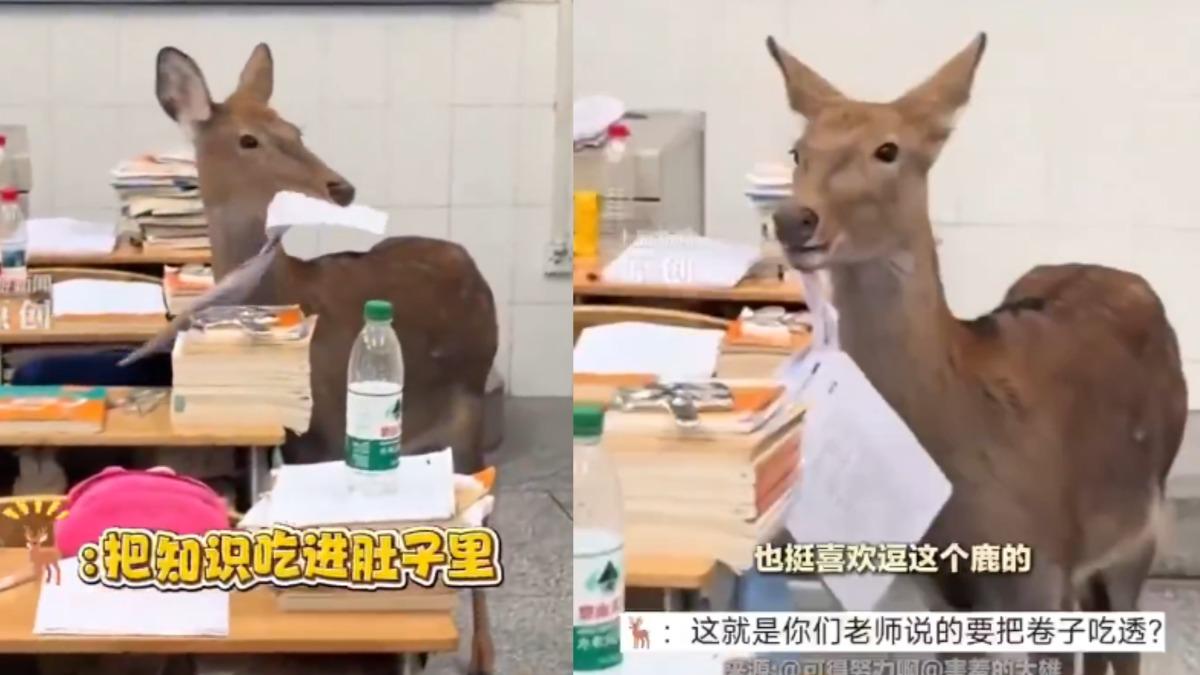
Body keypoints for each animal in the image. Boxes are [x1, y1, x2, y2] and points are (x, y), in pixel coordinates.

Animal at [118, 44, 499, 675]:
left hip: (469, 406)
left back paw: (480, 656)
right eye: (249, 139)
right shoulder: (297, 440)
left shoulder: (328, 428)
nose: (339, 186)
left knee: (487, 514)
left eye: (295, 129)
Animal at [766, 33, 1187, 675]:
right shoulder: (942, 591)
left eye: (889, 148)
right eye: (798, 150)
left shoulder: (1042, 570)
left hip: (1139, 533)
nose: (794, 219)